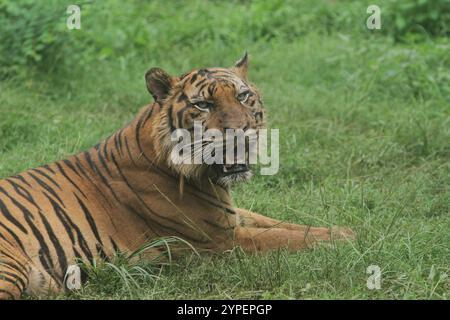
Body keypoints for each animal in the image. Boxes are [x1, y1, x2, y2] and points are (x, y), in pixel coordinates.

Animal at [0, 53, 356, 298]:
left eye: (242, 96)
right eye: (203, 104)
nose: (240, 131)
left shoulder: (231, 217)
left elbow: (288, 225)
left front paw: (345, 229)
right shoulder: (221, 242)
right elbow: (289, 237)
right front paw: (348, 240)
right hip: (10, 268)